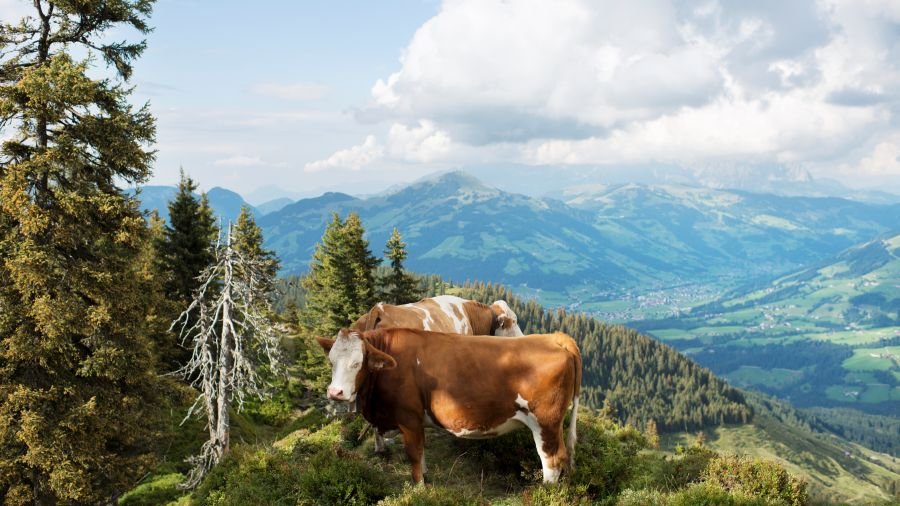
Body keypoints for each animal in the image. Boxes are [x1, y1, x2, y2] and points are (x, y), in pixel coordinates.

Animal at [316, 327, 582, 484]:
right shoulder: (416, 421)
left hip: (545, 422)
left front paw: (418, 487)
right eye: (331, 361)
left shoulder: (408, 417)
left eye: (357, 363)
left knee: (552, 460)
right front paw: (424, 475)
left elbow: (413, 453)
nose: (335, 392)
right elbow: (421, 452)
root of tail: (556, 337)